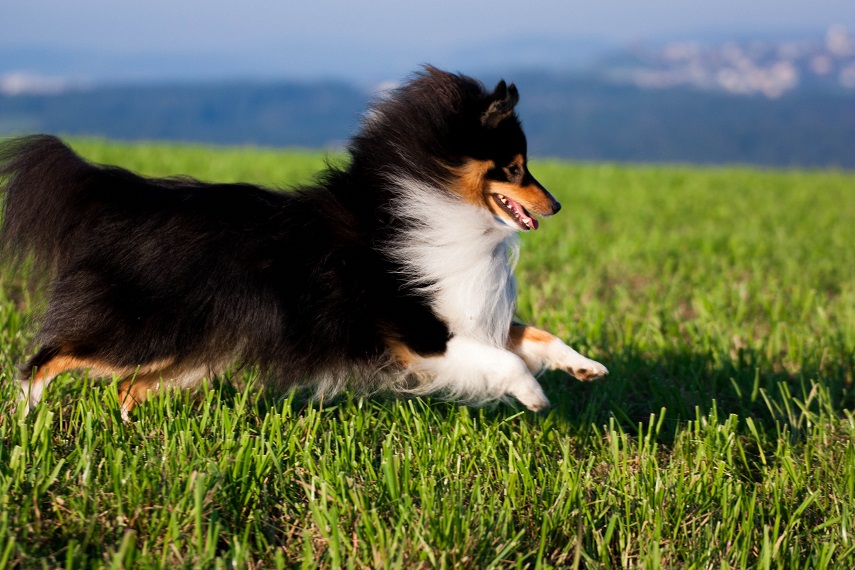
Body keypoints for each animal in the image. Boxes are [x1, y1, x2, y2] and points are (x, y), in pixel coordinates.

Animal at [3, 66, 612, 418]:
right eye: (514, 168)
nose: (557, 206)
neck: (432, 203)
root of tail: (125, 198)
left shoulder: (463, 314)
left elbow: (535, 335)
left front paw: (586, 368)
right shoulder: (422, 334)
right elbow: (507, 362)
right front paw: (535, 396)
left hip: (186, 350)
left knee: (126, 391)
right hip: (139, 331)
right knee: (46, 358)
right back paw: (25, 416)